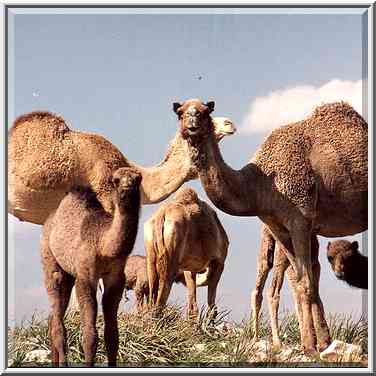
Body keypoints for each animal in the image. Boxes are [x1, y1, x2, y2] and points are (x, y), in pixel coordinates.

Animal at [40, 167, 142, 368]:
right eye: (116, 180)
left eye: (138, 179)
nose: (126, 189)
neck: (103, 244)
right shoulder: (86, 276)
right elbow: (90, 335)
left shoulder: (116, 277)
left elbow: (113, 335)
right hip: (50, 261)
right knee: (57, 319)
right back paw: (63, 364)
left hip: (68, 274)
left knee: (54, 317)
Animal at [145, 187, 229, 318]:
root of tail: (161, 217)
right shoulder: (219, 262)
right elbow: (211, 307)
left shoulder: (189, 269)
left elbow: (192, 306)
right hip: (171, 256)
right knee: (161, 298)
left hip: (151, 256)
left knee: (153, 292)